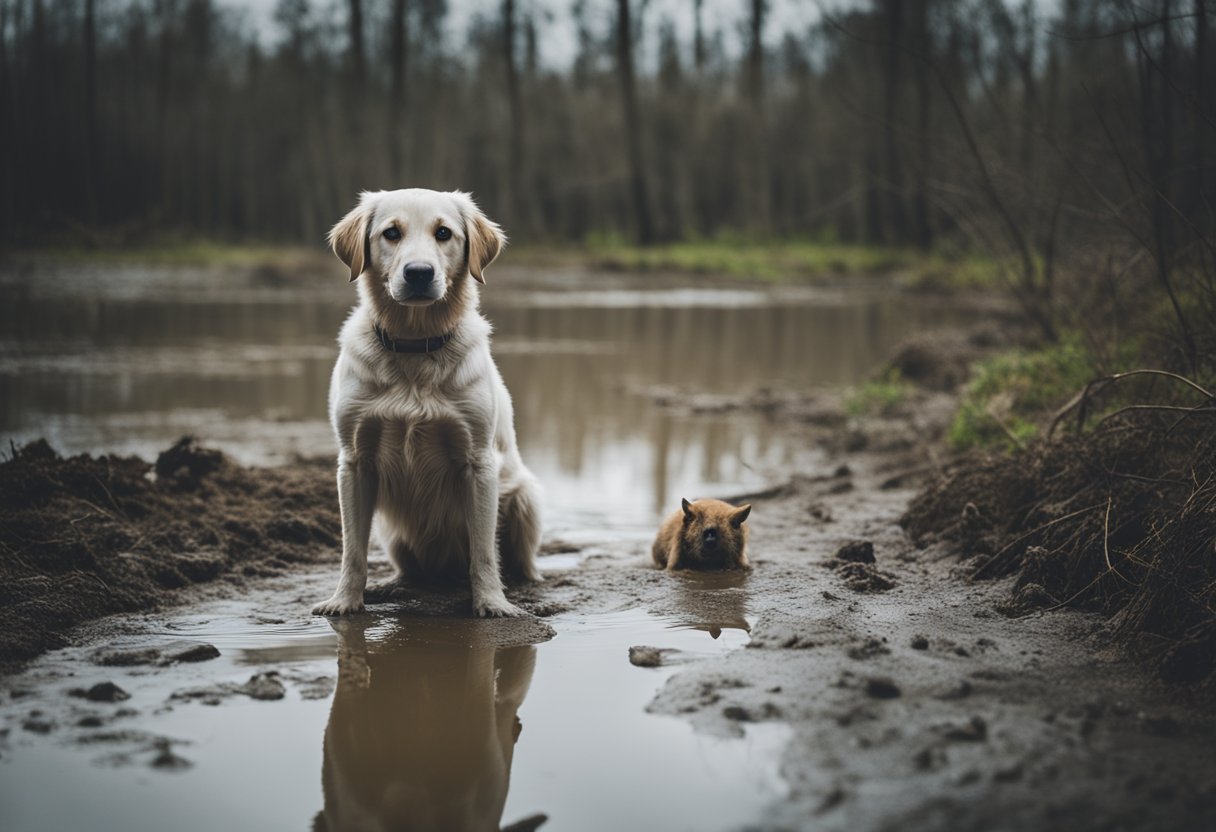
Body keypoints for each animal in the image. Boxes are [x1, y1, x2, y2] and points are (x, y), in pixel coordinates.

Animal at [313, 188, 542, 617]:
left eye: (443, 233)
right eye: (391, 233)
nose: (418, 272)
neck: (414, 344)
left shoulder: (478, 463)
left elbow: (484, 552)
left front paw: (491, 602)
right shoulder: (354, 463)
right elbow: (353, 551)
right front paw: (345, 600)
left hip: (525, 497)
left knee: (521, 564)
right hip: (392, 531)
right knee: (410, 569)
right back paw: (392, 585)